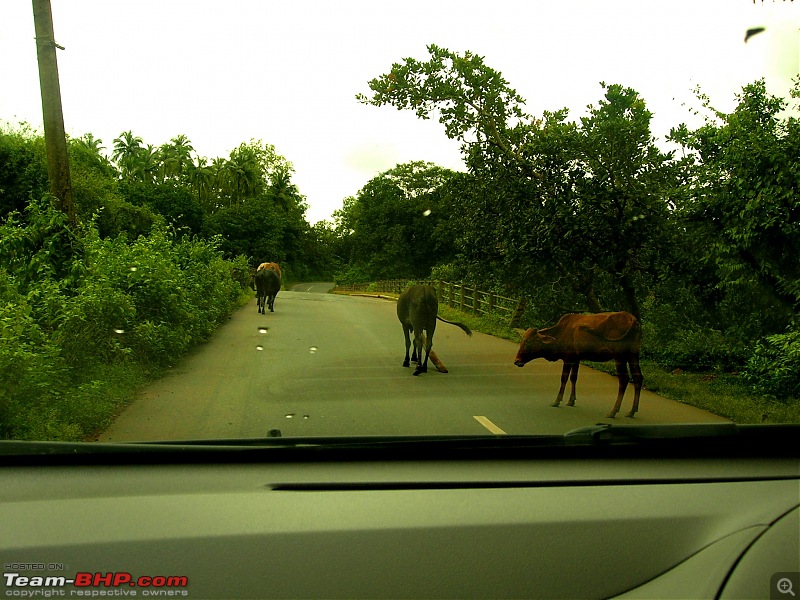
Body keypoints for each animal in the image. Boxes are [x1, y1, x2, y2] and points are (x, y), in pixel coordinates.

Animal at [512, 312, 644, 420]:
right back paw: (632, 411)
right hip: (633, 355)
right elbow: (573, 378)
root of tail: (634, 321)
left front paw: (557, 401)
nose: (517, 361)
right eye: (522, 340)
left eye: (529, 342)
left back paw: (613, 411)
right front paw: (571, 400)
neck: (560, 334)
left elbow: (564, 378)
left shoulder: (568, 358)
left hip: (619, 356)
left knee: (624, 379)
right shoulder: (576, 358)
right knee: (638, 377)